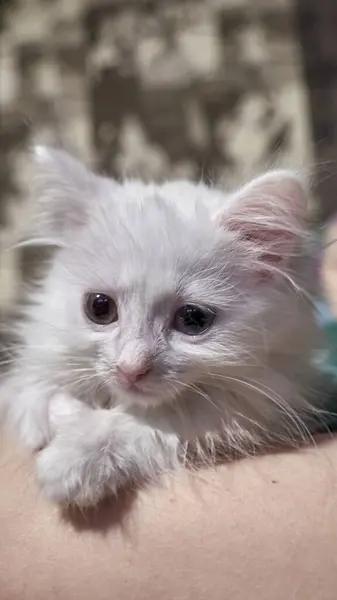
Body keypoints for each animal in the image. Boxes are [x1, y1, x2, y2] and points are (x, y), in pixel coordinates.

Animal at [1, 146, 324, 506]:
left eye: (193, 319)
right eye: (99, 308)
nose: (130, 369)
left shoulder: (251, 406)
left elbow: (144, 423)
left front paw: (72, 462)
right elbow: (34, 390)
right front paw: (44, 419)